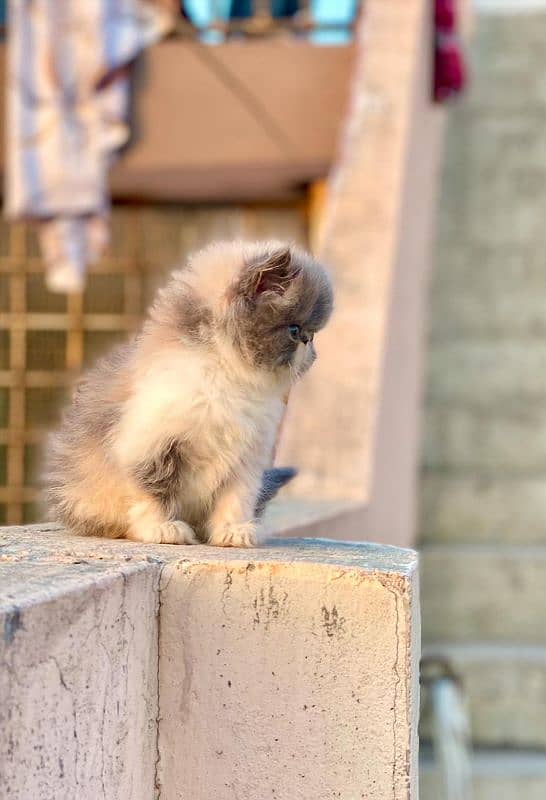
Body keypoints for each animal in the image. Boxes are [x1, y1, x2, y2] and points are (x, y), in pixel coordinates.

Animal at [43, 241, 332, 548]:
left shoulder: (245, 460)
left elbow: (235, 499)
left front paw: (233, 531)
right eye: (295, 330)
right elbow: (154, 492)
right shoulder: (150, 446)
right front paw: (162, 529)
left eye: (312, 334)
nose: (311, 347)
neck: (227, 378)